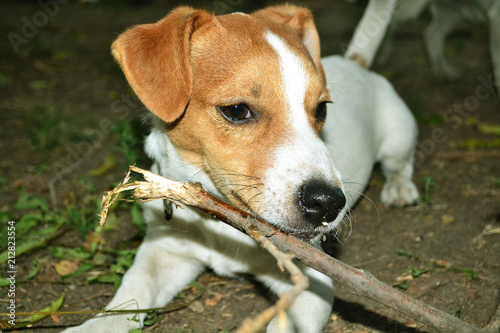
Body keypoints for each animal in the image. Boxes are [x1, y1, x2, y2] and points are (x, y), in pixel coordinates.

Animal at [64, 3, 420, 332]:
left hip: (399, 136)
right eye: (237, 110)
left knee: (401, 164)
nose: (328, 203)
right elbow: (128, 297)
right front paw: (94, 325)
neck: (222, 222)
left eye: (321, 109)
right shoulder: (165, 253)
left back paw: (400, 188)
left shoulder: (311, 286)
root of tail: (354, 61)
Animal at [346, 0, 500, 95]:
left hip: (452, 13)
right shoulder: (496, 19)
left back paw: (442, 70)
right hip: (408, 10)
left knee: (432, 35)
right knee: (386, 25)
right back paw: (382, 55)